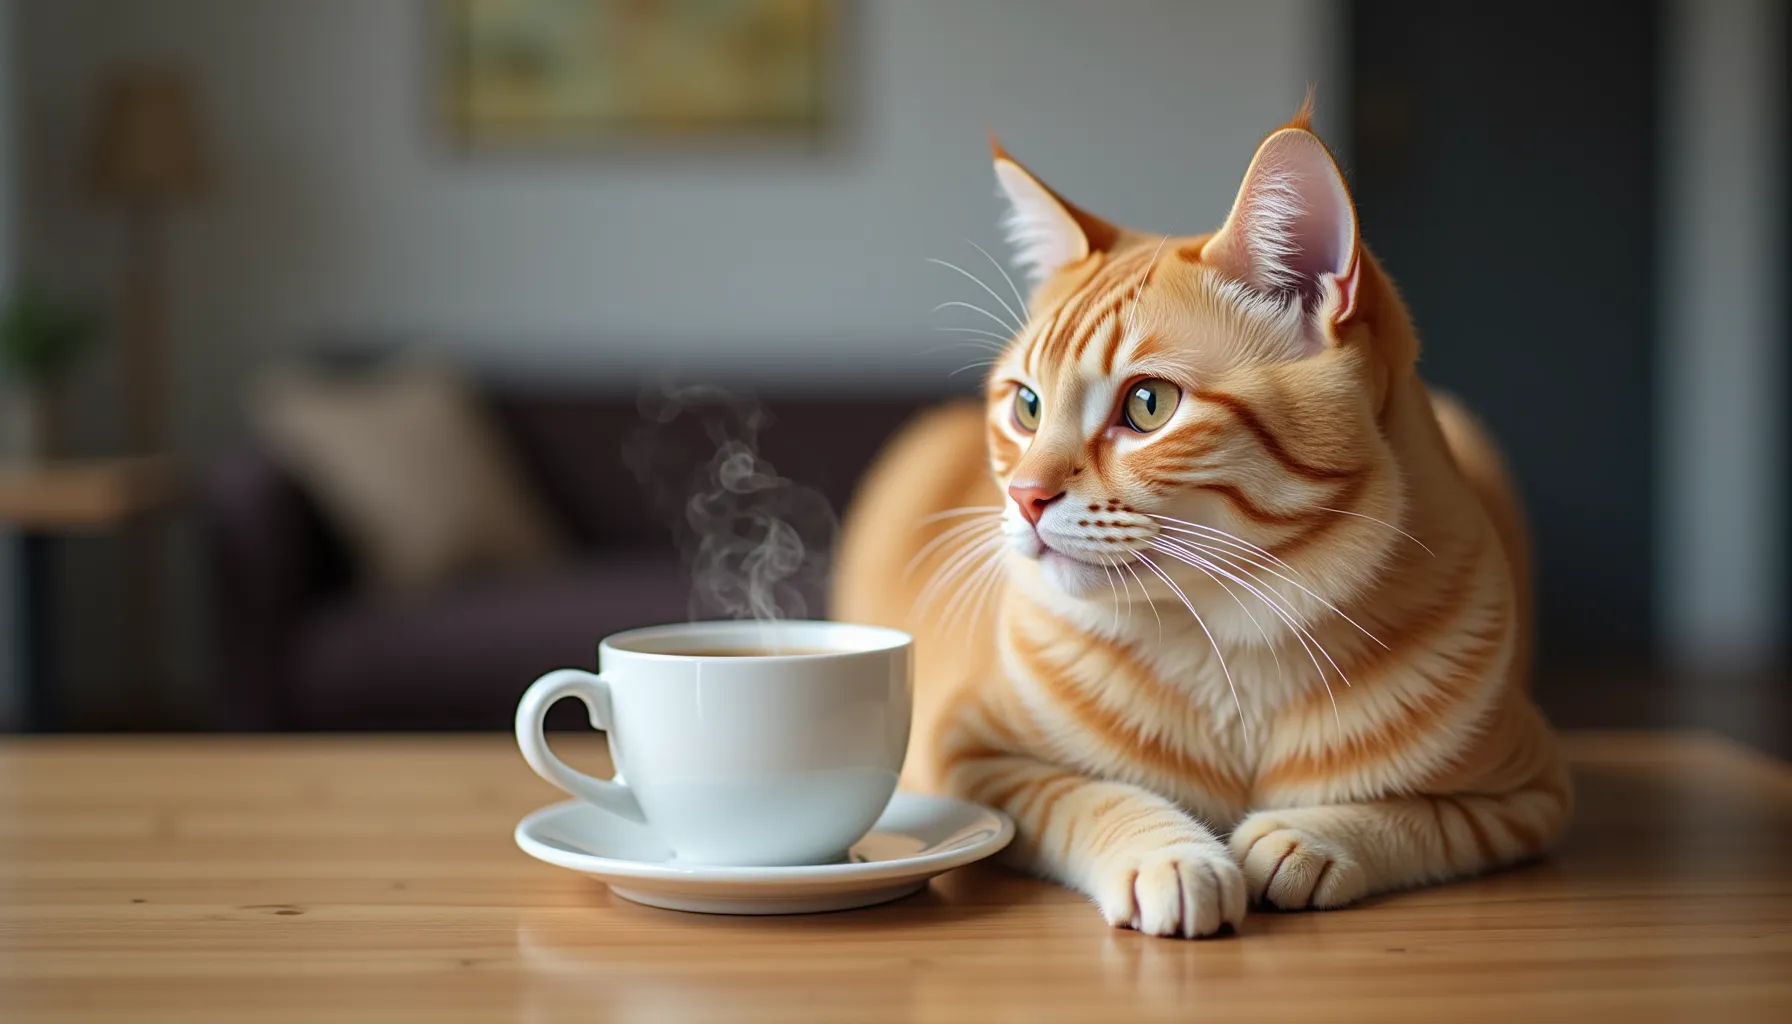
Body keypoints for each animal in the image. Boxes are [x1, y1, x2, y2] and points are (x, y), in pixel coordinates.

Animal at [827, 102, 1569, 939]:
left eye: (1149, 405)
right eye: (1027, 406)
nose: (1024, 495)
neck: (1229, 639)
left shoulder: (1530, 793)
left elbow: (1418, 817)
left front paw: (1308, 838)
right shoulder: (971, 756)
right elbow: (1089, 795)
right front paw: (1174, 856)